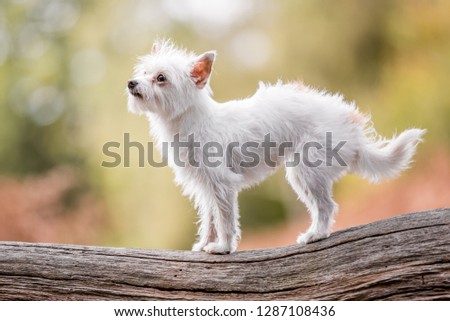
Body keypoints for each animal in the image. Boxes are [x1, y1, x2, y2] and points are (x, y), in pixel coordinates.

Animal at [127, 39, 426, 252]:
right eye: (143, 72)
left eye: (161, 78)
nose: (131, 83)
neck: (192, 120)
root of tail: (349, 122)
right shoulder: (206, 187)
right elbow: (210, 220)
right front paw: (204, 245)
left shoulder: (223, 184)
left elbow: (225, 220)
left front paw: (223, 247)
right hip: (302, 175)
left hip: (307, 171)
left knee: (327, 206)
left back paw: (316, 234)